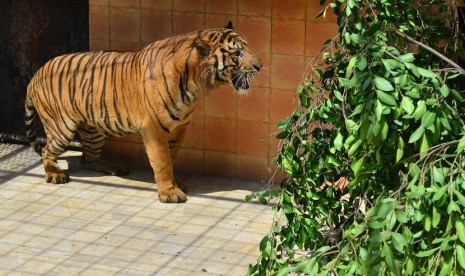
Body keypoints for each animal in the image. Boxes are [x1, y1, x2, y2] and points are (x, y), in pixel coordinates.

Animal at [24, 21, 260, 203]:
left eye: (247, 47)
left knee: (88, 159)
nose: (261, 66)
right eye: (237, 53)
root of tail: (36, 73)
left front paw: (173, 184)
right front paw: (170, 193)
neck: (194, 81)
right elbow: (162, 161)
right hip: (62, 128)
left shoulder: (179, 127)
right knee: (48, 151)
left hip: (93, 130)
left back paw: (113, 167)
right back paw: (55, 174)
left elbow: (171, 157)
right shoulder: (154, 128)